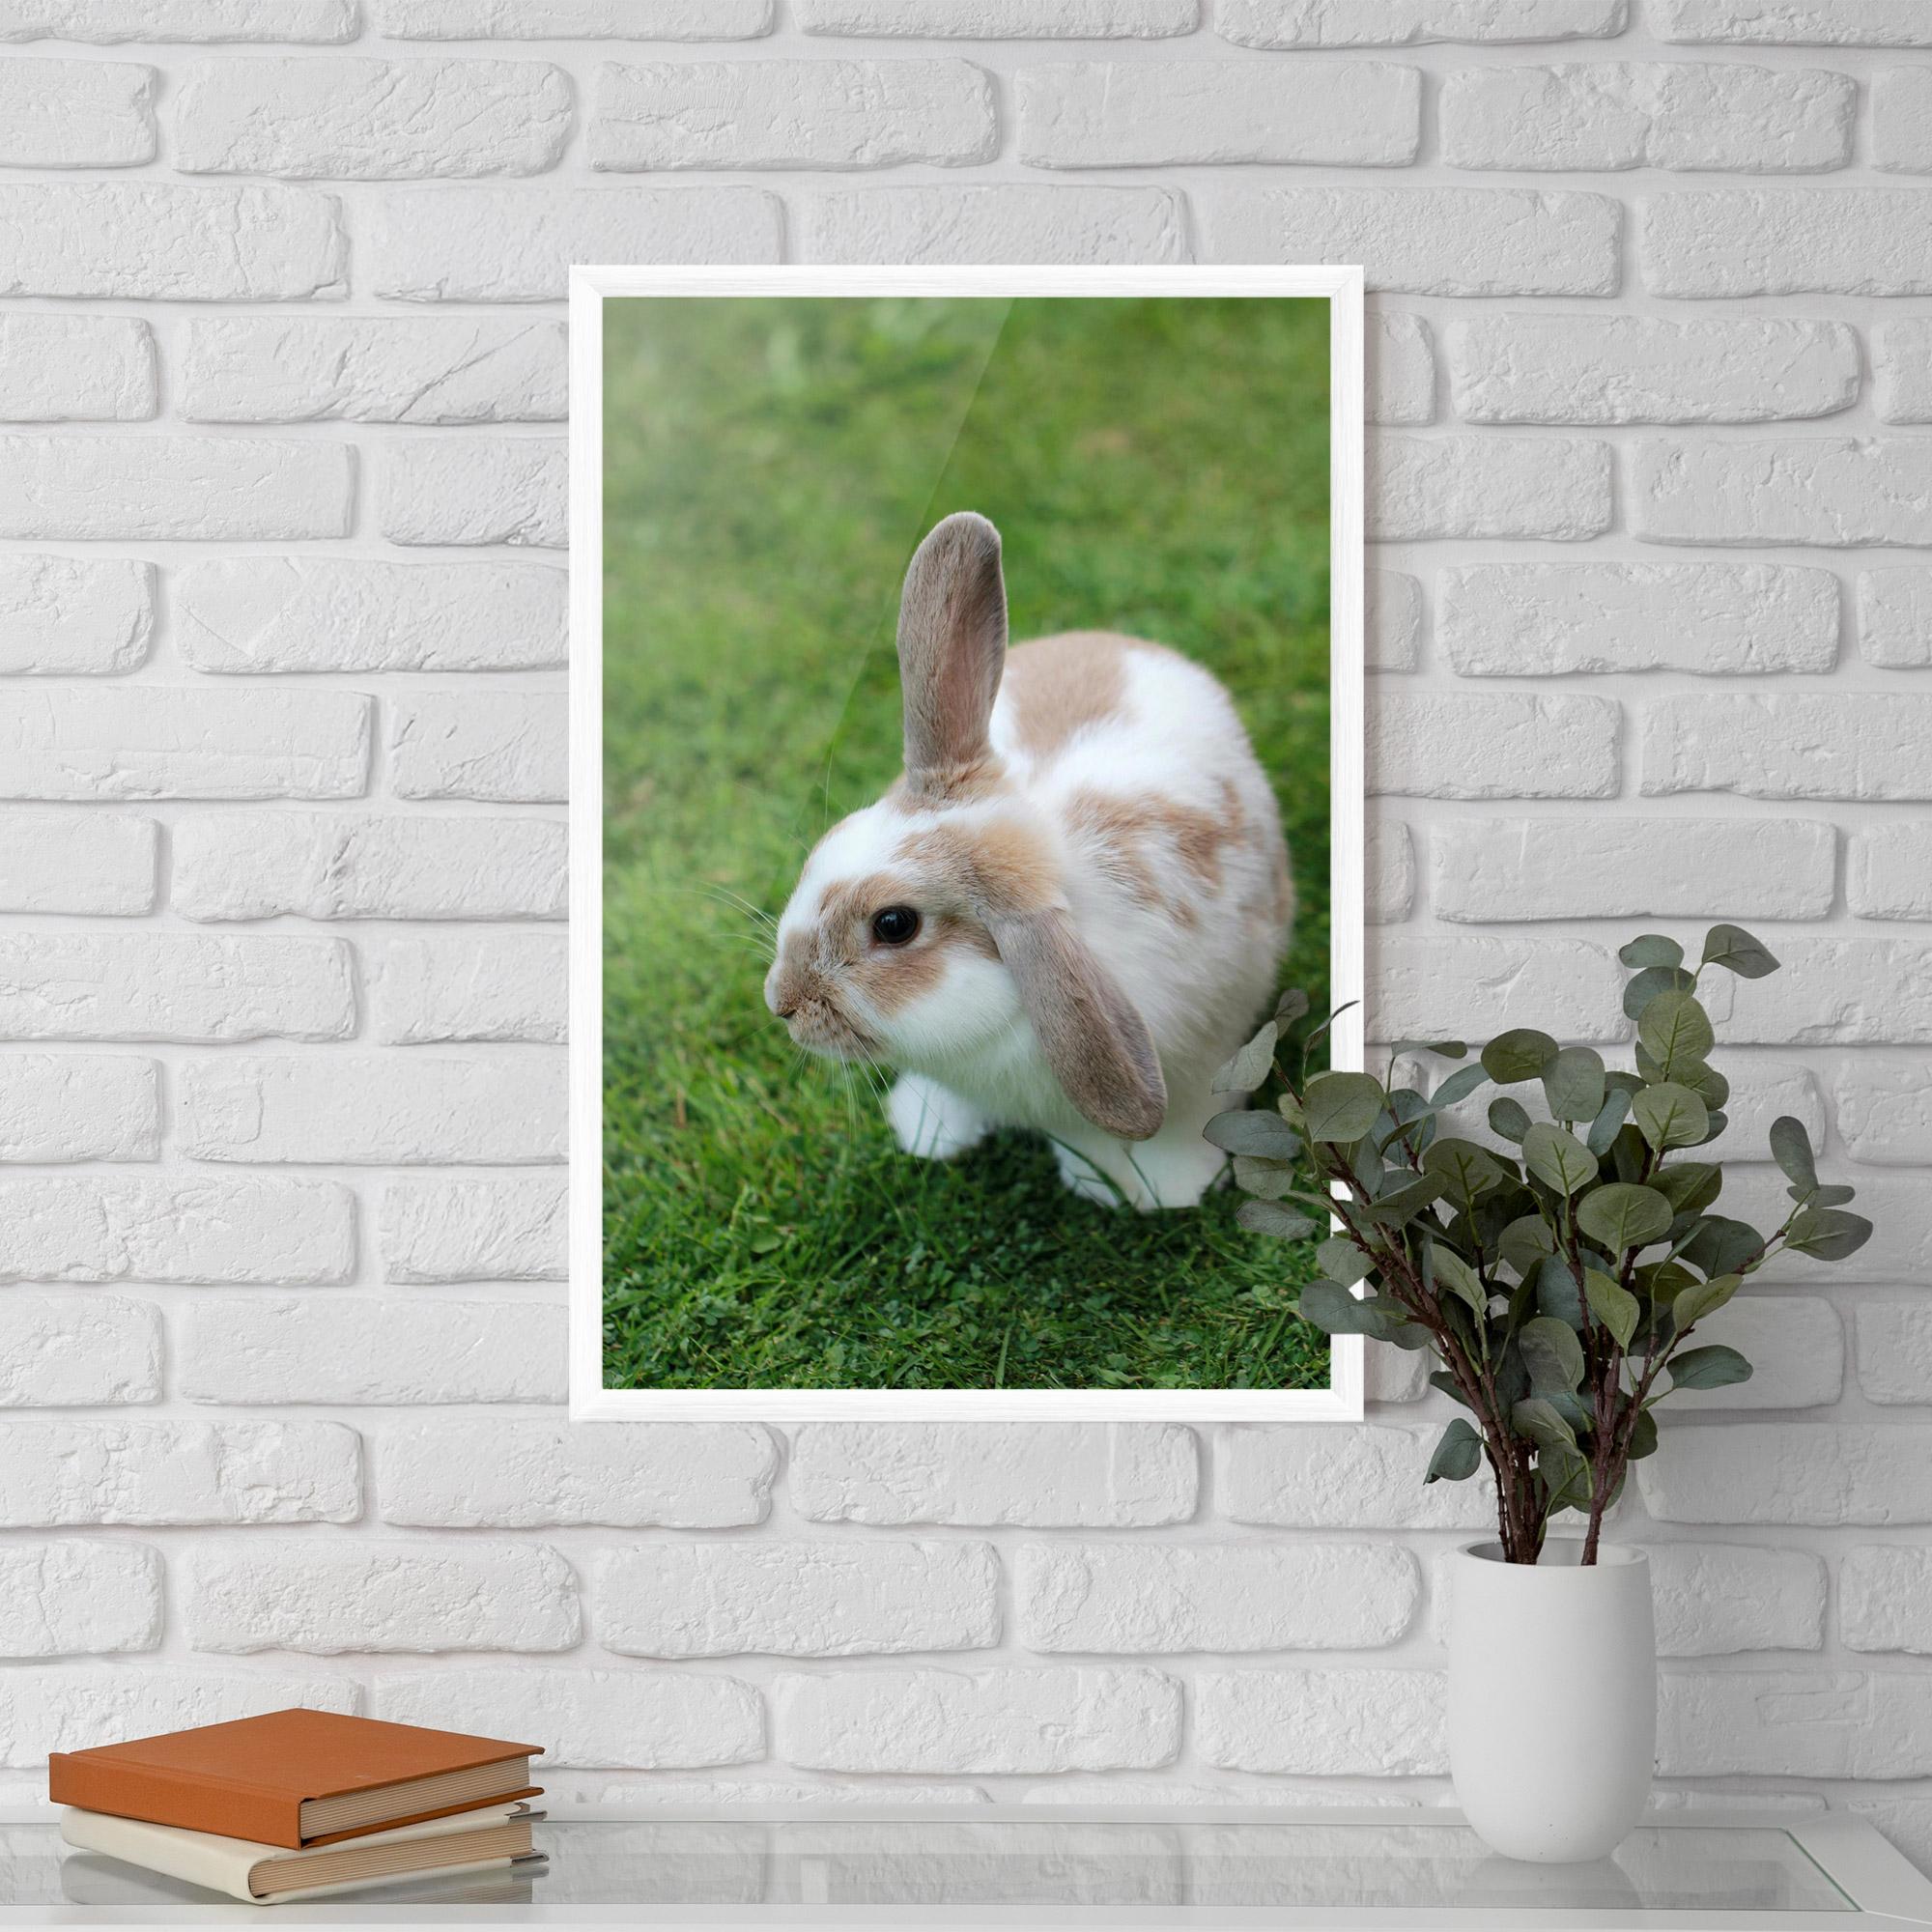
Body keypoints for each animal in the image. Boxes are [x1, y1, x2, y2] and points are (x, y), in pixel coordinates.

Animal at [764, 511, 1293, 1211]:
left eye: (894, 925)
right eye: (831, 842)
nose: (782, 1003)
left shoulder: (1205, 1059)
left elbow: (1178, 1127)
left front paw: (1168, 1188)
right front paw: (928, 1131)